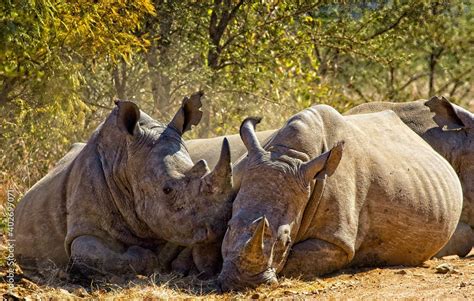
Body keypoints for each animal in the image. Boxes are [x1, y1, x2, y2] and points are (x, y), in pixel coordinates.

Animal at [14, 92, 235, 276]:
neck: (124, 161)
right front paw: (150, 258)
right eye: (167, 190)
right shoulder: (82, 229)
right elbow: (90, 251)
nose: (220, 224)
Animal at [218, 104, 462, 290]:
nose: (241, 282)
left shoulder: (337, 241)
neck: (289, 155)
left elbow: (296, 259)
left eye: (286, 241)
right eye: (228, 227)